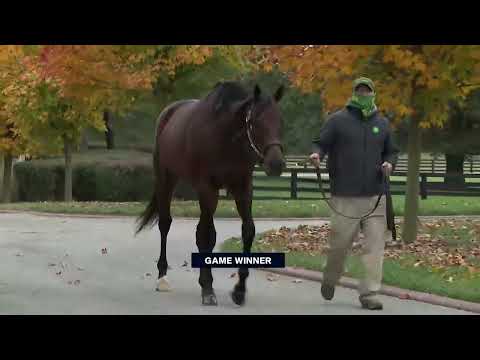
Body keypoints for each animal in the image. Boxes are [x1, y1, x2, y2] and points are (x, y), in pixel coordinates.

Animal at [135, 81, 284, 306]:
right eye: (256, 122)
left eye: (280, 121)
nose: (276, 164)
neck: (224, 137)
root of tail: (168, 113)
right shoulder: (208, 189)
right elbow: (207, 235)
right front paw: (207, 288)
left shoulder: (243, 188)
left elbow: (248, 231)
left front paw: (239, 290)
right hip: (166, 179)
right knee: (165, 223)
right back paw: (162, 277)